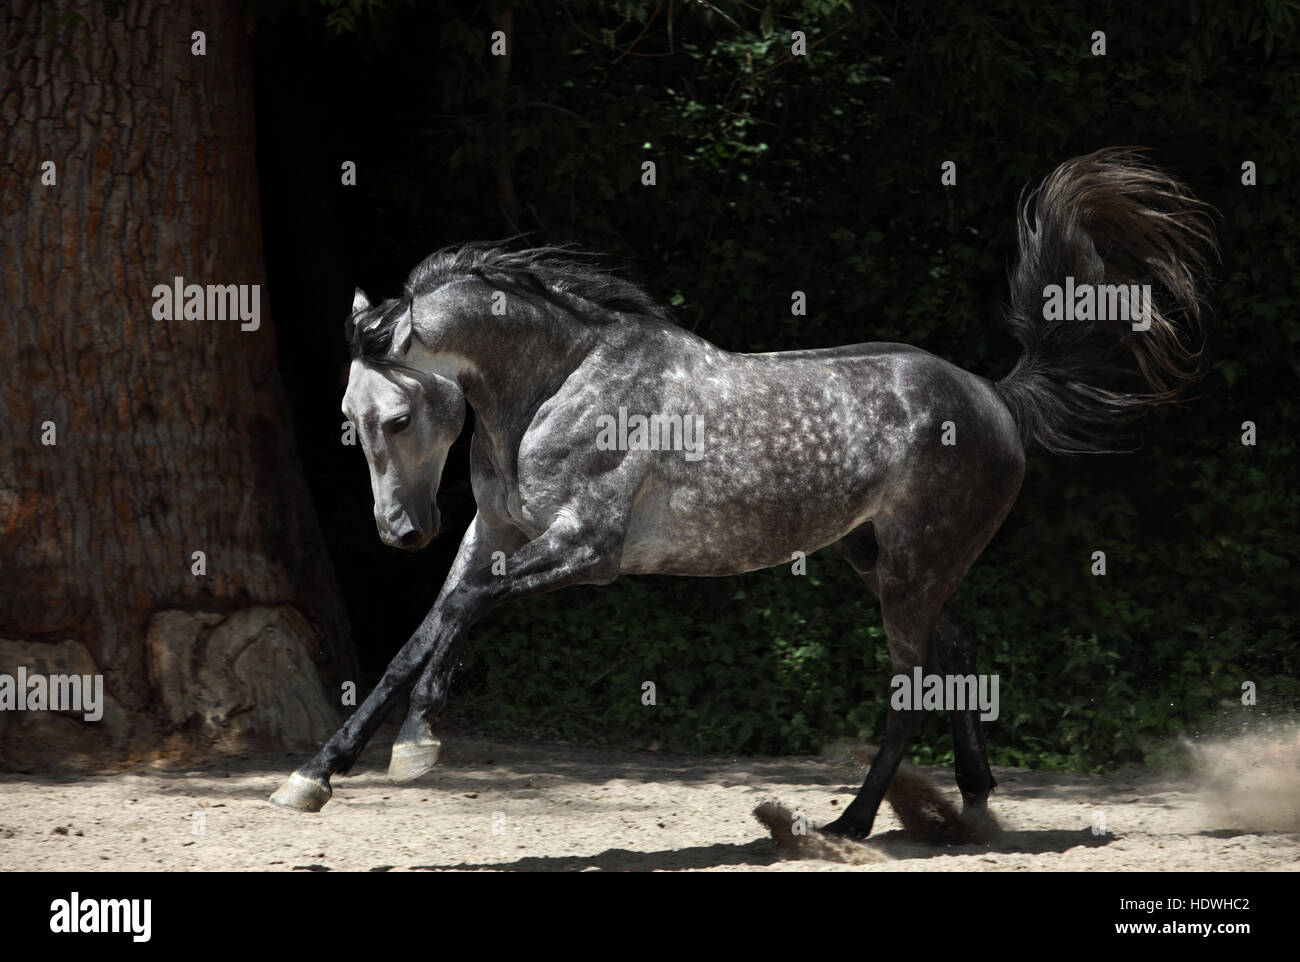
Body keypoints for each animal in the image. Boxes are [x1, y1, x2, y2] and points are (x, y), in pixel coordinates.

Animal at [270, 148, 1215, 840]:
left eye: (397, 416)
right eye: (348, 420)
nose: (401, 532)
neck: (555, 385)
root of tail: (995, 395)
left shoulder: (585, 551)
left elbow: (463, 614)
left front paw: (412, 748)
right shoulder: (492, 537)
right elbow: (420, 636)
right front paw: (318, 776)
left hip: (910, 571)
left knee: (911, 684)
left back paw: (851, 823)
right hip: (886, 561)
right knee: (957, 652)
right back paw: (972, 805)